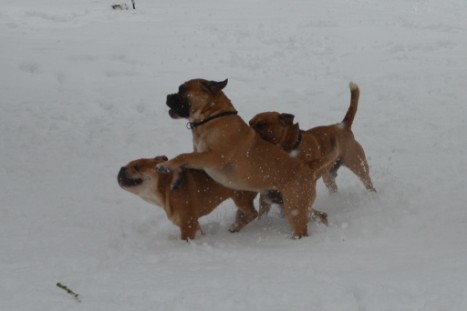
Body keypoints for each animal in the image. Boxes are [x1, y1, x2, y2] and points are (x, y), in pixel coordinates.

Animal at [116, 156, 256, 241]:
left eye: (138, 166)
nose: (121, 168)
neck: (166, 186)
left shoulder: (187, 222)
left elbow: (186, 238)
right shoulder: (192, 221)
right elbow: (200, 231)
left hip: (240, 197)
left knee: (252, 213)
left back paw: (236, 226)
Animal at [155, 78, 334, 239]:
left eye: (182, 89)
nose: (167, 96)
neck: (213, 117)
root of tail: (307, 166)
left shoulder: (214, 157)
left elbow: (183, 155)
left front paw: (165, 165)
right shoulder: (200, 159)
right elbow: (185, 160)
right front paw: (174, 176)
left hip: (293, 205)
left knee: (300, 228)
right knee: (316, 214)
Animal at [249, 83, 376, 219]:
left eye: (262, 125)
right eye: (250, 123)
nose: (248, 129)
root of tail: (343, 126)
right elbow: (263, 212)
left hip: (357, 163)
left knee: (367, 181)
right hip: (328, 176)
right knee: (333, 187)